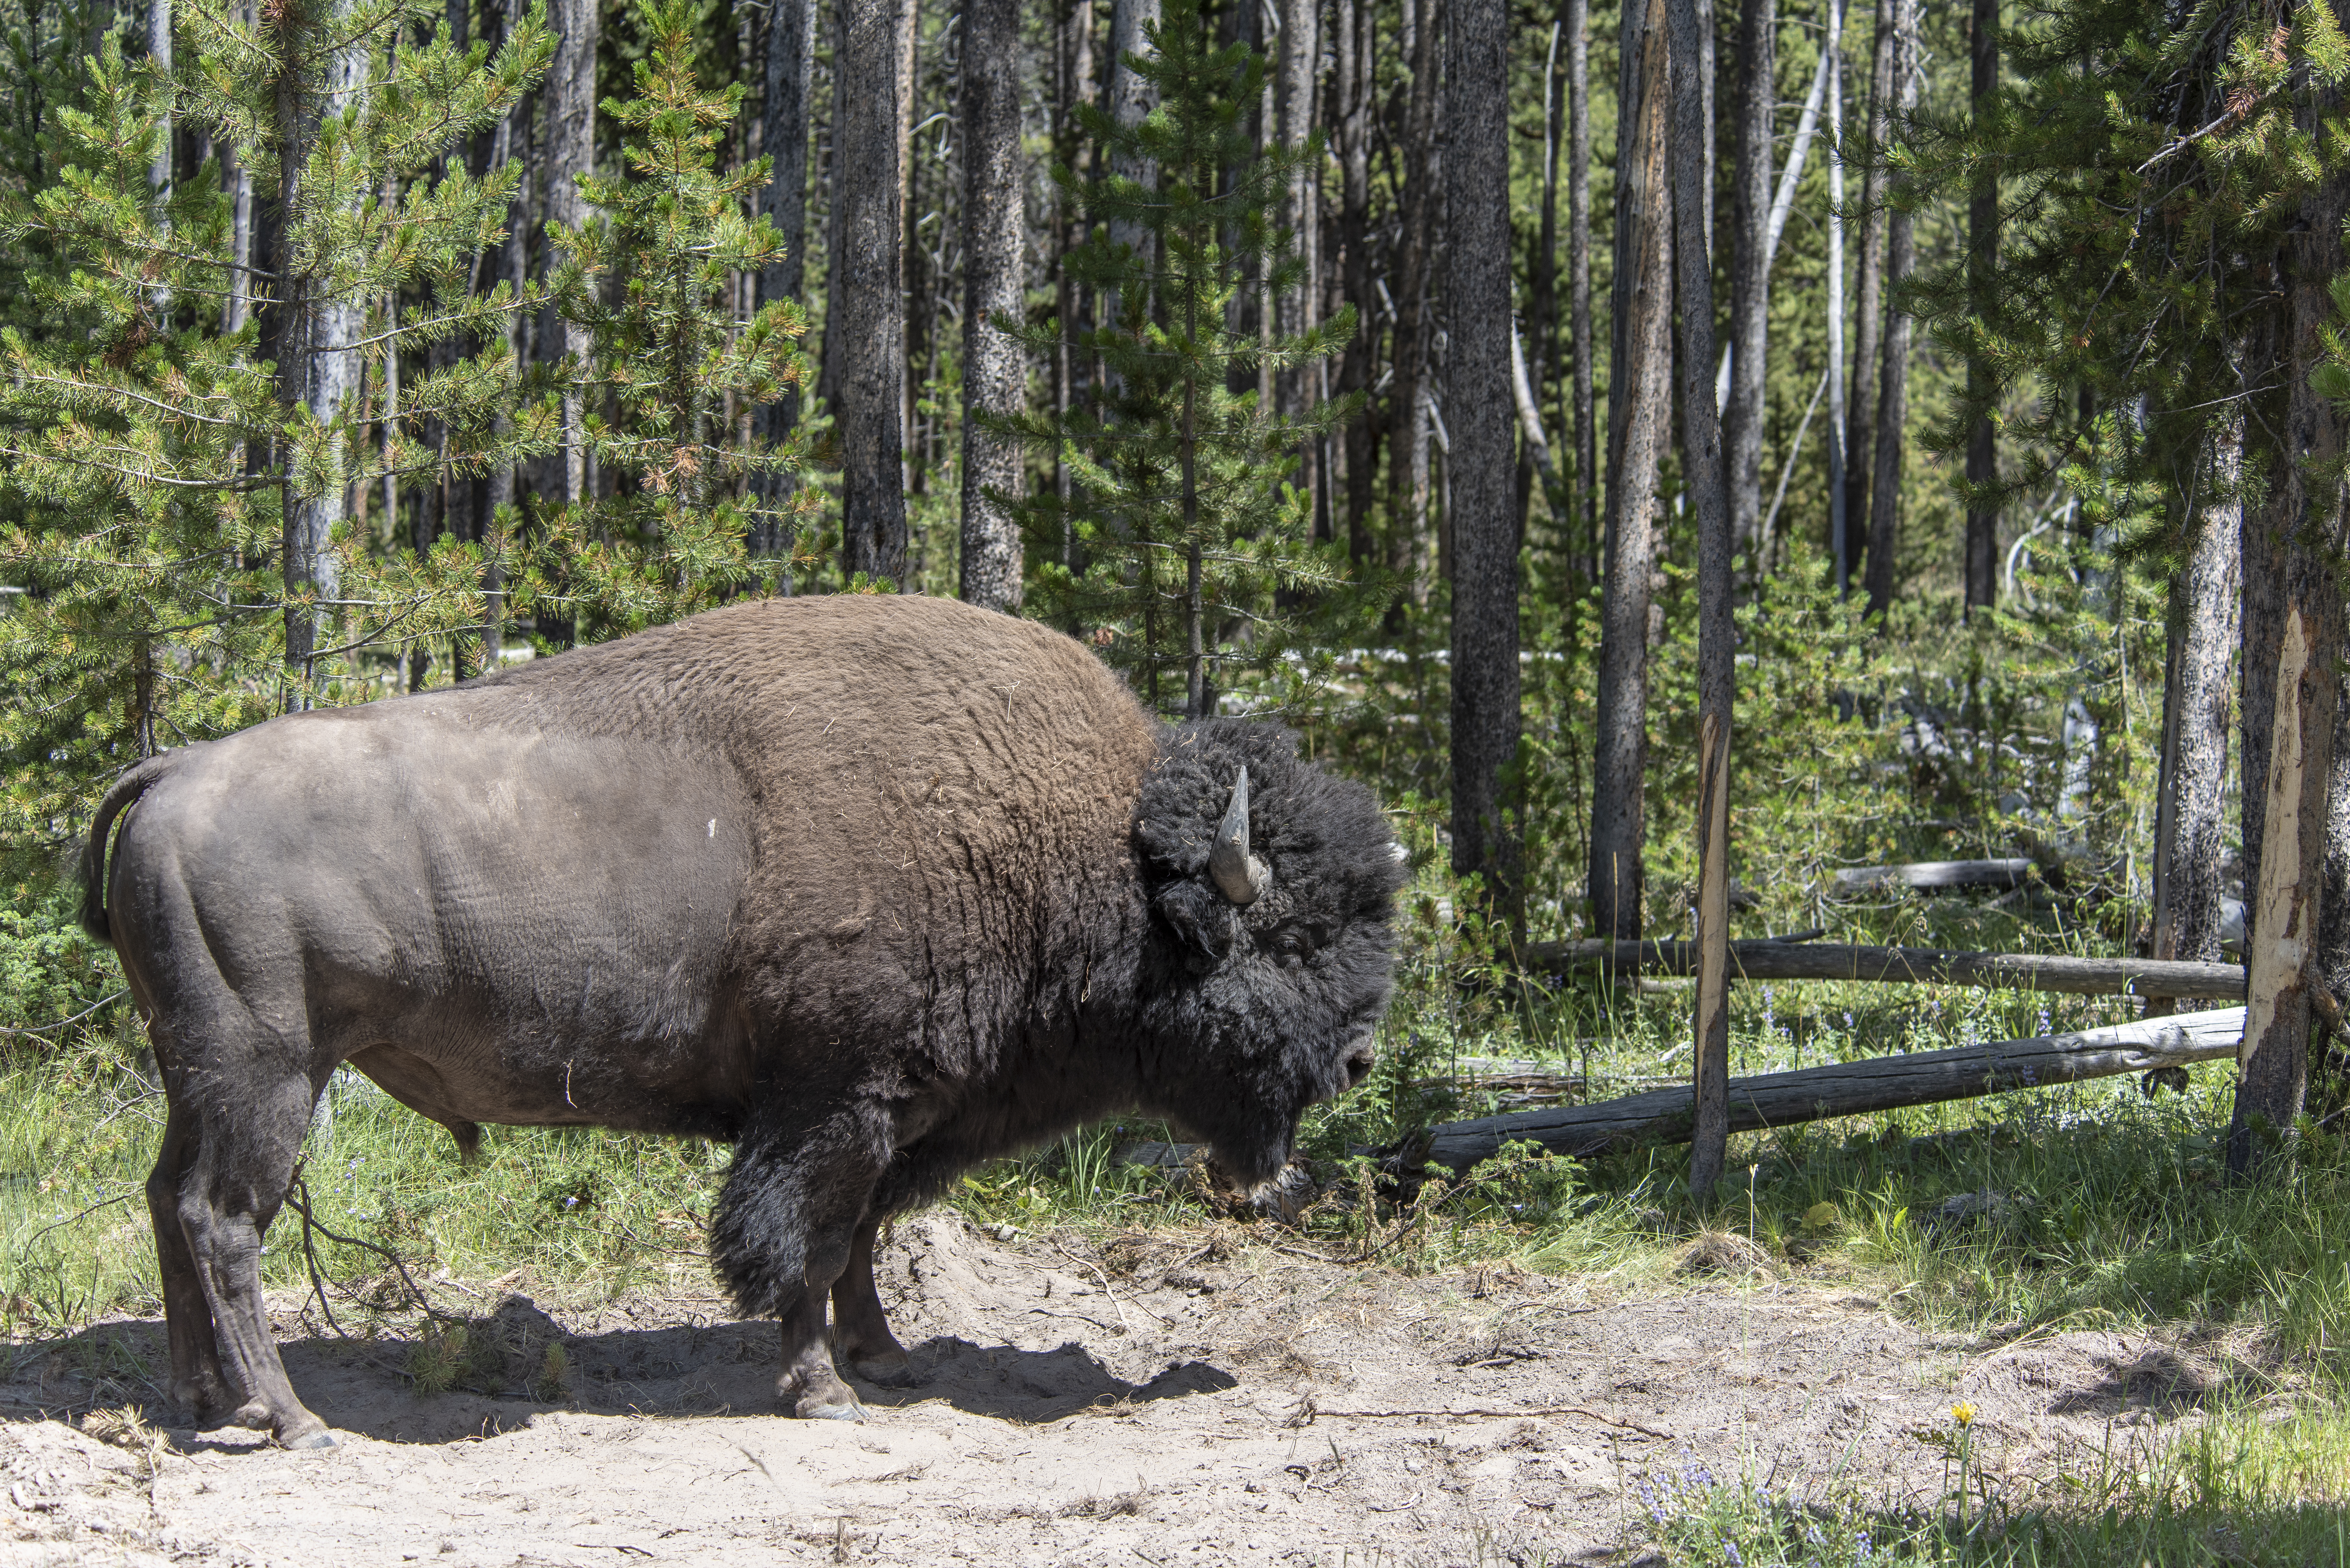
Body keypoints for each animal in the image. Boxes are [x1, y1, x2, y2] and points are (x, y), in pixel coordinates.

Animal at [79, 594, 1405, 1447]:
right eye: (1289, 940)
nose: (1355, 1058)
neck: (1094, 855)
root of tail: (172, 772)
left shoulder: (888, 1112)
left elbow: (860, 1239)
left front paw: (887, 1356)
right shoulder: (830, 1103)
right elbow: (803, 1244)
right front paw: (823, 1390)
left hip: (197, 1073)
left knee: (166, 1200)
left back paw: (204, 1405)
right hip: (270, 1074)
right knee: (223, 1219)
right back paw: (290, 1419)